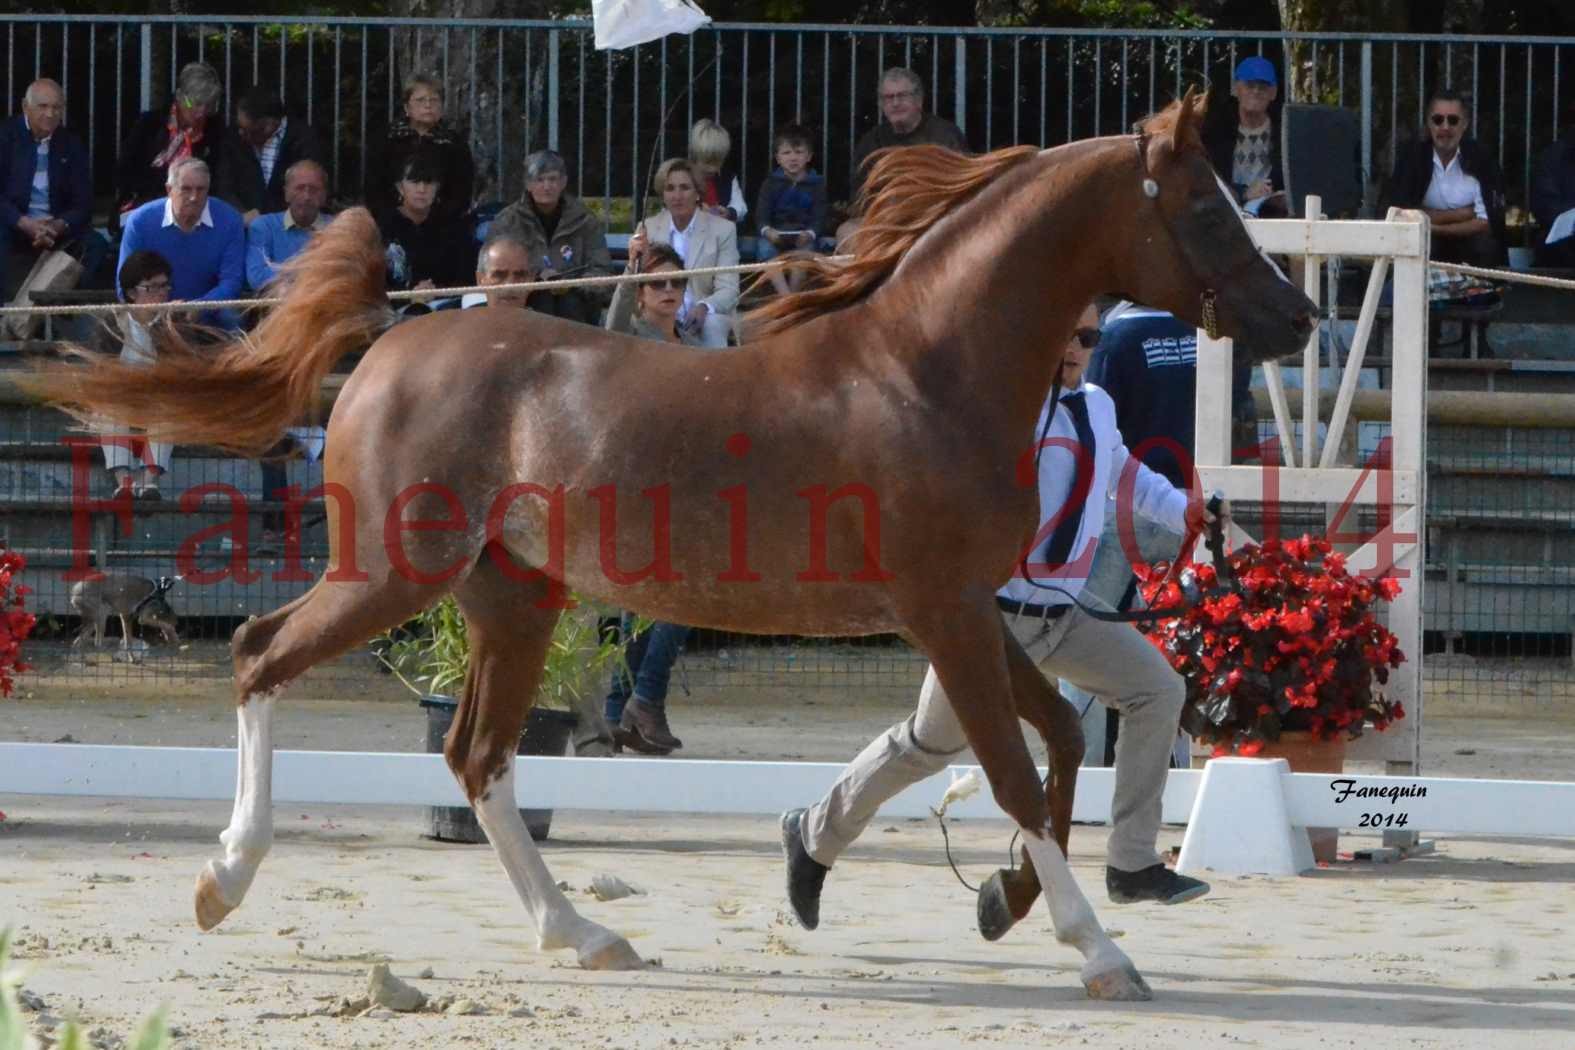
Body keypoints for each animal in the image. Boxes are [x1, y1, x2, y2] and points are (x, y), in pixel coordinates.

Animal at [37, 96, 1316, 1001]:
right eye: (1208, 206)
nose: (1296, 319)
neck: (926, 372)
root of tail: (391, 341)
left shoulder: (971, 612)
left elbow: (1050, 749)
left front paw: (1003, 899)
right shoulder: (947, 612)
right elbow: (1013, 765)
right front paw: (1098, 949)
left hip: (512, 599)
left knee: (478, 756)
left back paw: (584, 934)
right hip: (394, 575)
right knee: (262, 656)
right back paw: (222, 881)